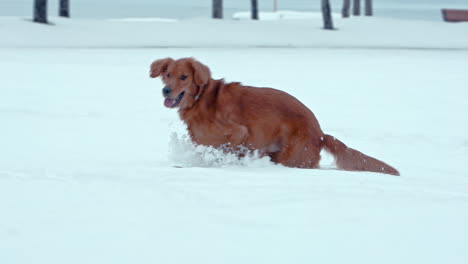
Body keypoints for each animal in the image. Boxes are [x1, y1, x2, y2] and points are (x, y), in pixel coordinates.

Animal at [149, 58, 398, 177]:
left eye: (183, 77)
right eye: (167, 75)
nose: (166, 91)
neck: (202, 98)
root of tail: (320, 133)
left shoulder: (238, 132)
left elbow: (226, 151)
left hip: (292, 157)